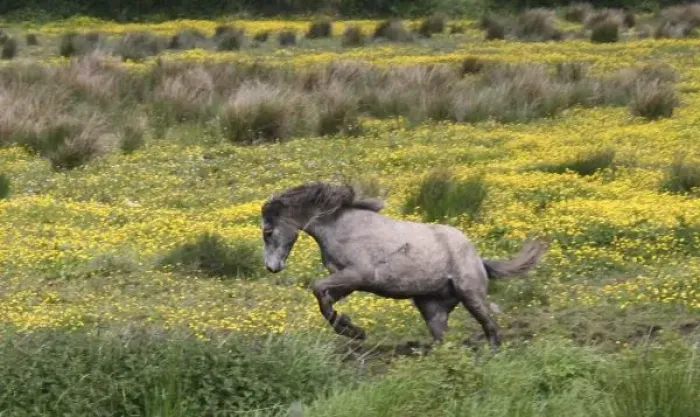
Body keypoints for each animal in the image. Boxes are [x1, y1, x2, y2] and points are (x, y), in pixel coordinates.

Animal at [260, 182, 547, 351]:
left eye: (268, 231)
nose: (271, 267)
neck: (339, 225)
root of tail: (478, 258)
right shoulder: (348, 280)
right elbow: (323, 300)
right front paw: (352, 330)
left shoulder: (358, 274)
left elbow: (318, 288)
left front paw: (353, 331)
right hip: (432, 309)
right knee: (444, 339)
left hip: (471, 295)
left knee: (491, 327)